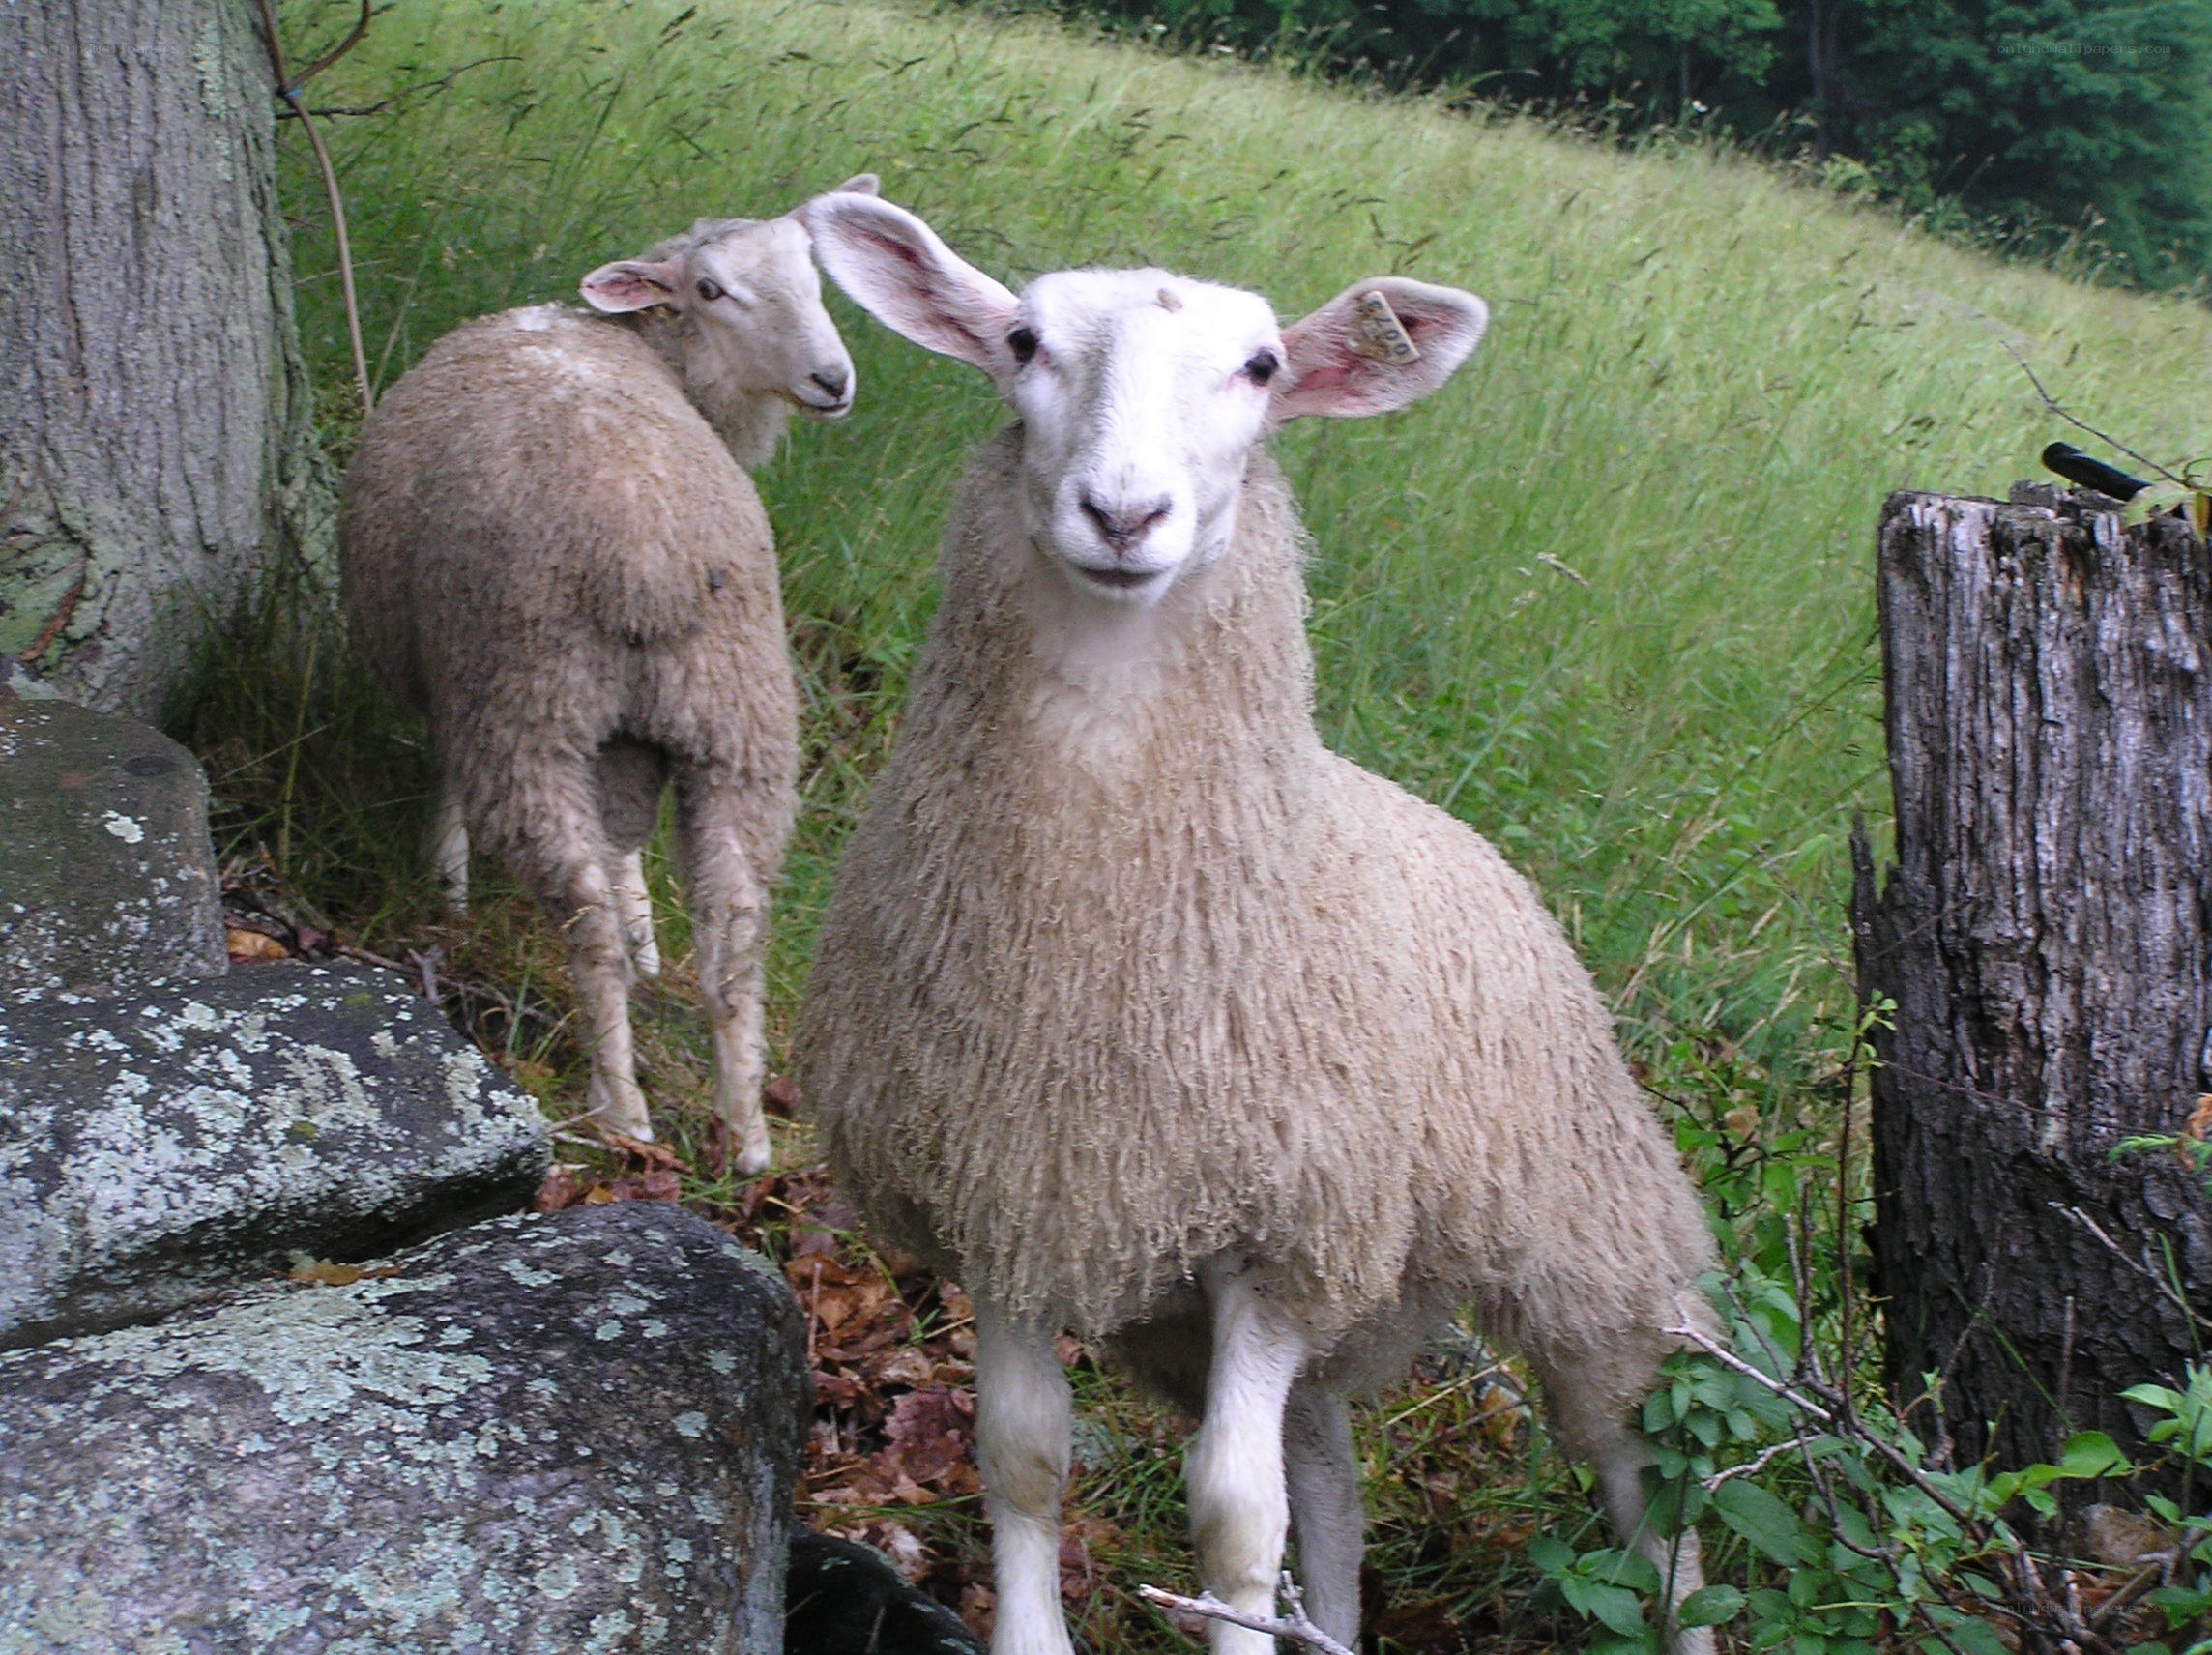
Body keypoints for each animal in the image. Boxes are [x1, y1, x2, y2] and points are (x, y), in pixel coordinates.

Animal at [339, 175, 879, 1169]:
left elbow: (449, 781)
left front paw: (446, 887)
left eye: (816, 272)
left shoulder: (455, 679)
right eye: (710, 289)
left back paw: (619, 1109)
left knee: (579, 914)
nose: (833, 380)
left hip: (527, 705)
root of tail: (647, 552)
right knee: (736, 930)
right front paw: (646, 939)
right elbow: (627, 837)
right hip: (735, 720)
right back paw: (745, 1133)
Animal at [793, 191, 1723, 1655]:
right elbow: (1024, 1460)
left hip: (1587, 1249)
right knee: (1331, 1485)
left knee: (1649, 1491)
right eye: (1021, 342)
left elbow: (1231, 1521)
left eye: (1263, 367)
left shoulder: (1281, 1237)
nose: (1123, 513)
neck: (1088, 925)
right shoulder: (1006, 1193)